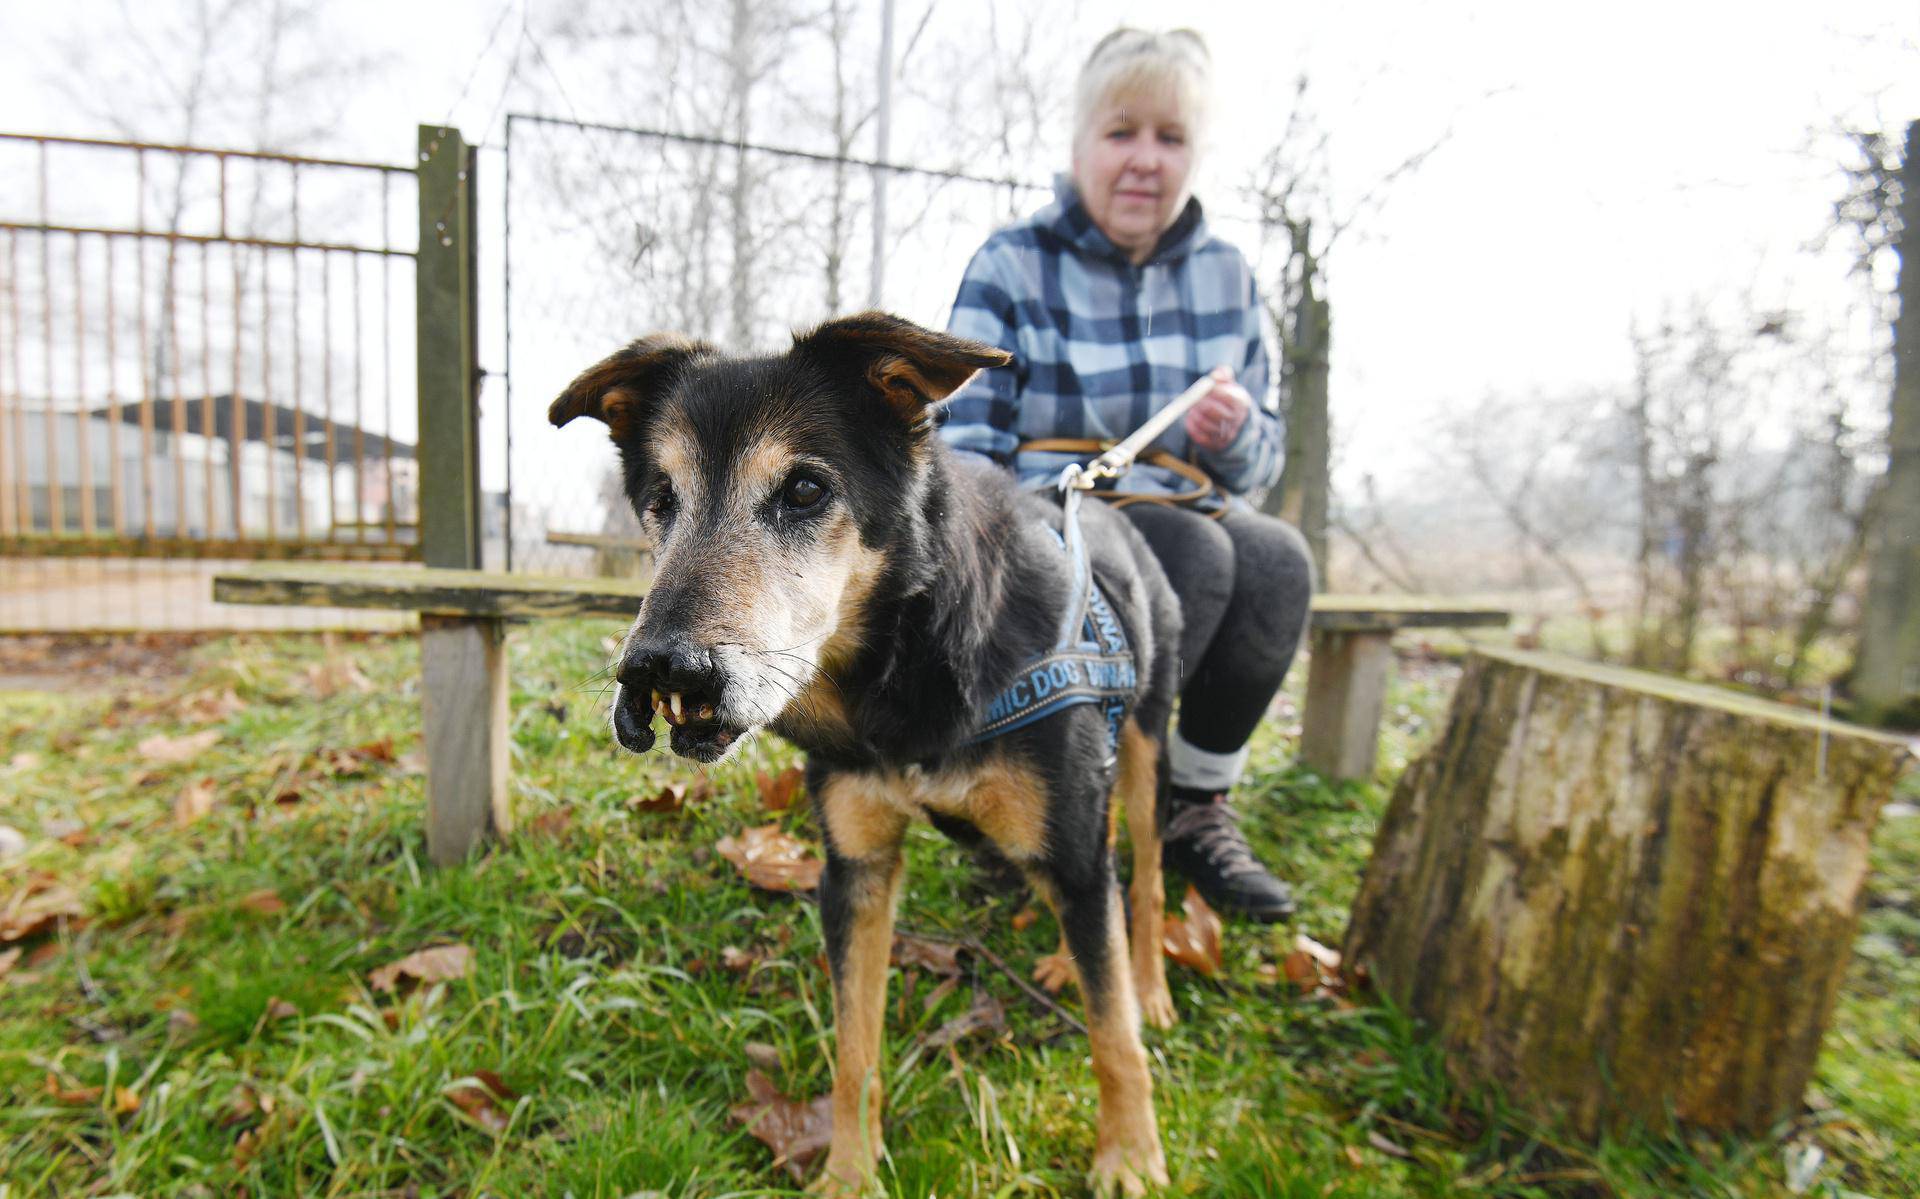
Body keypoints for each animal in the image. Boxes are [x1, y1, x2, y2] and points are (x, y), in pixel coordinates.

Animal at [549, 313, 1182, 1191]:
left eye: (806, 491)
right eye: (659, 500)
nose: (657, 671)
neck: (904, 669)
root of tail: (1115, 505)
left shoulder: (1074, 842)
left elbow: (1112, 1029)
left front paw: (1130, 1158)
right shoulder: (856, 868)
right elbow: (854, 1044)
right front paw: (850, 1169)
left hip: (1146, 751)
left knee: (1144, 876)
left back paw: (1150, 985)